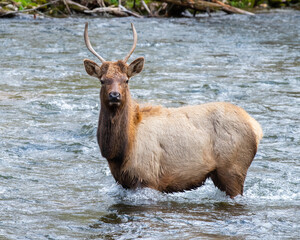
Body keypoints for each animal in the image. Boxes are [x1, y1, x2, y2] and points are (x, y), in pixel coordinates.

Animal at [82, 23, 262, 199]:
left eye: (126, 80)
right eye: (102, 80)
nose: (114, 95)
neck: (120, 151)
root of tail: (256, 128)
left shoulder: (148, 178)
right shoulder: (124, 183)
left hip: (234, 169)